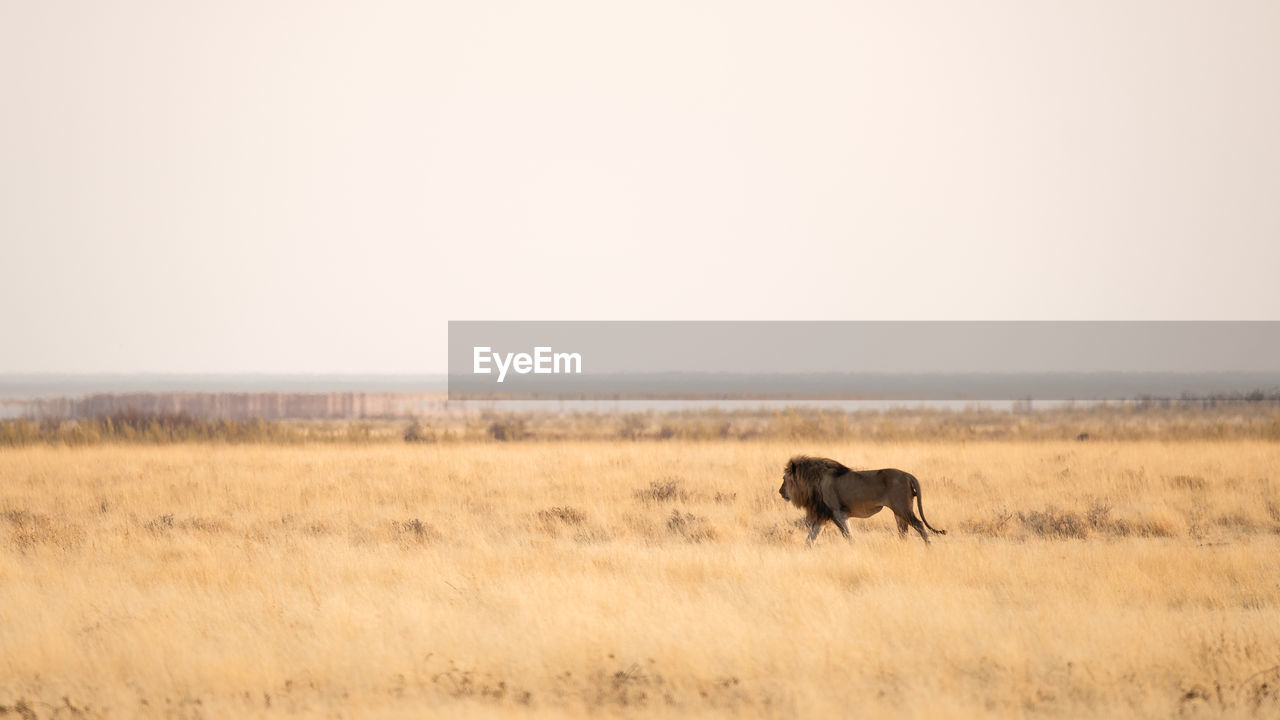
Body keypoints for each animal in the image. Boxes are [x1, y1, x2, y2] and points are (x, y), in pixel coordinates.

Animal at [773, 453, 947, 543]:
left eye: (783, 479)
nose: (780, 492)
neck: (813, 482)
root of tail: (908, 475)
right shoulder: (822, 516)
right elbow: (810, 538)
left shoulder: (838, 513)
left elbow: (848, 535)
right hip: (898, 512)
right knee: (903, 531)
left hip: (903, 508)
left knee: (919, 525)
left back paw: (929, 547)